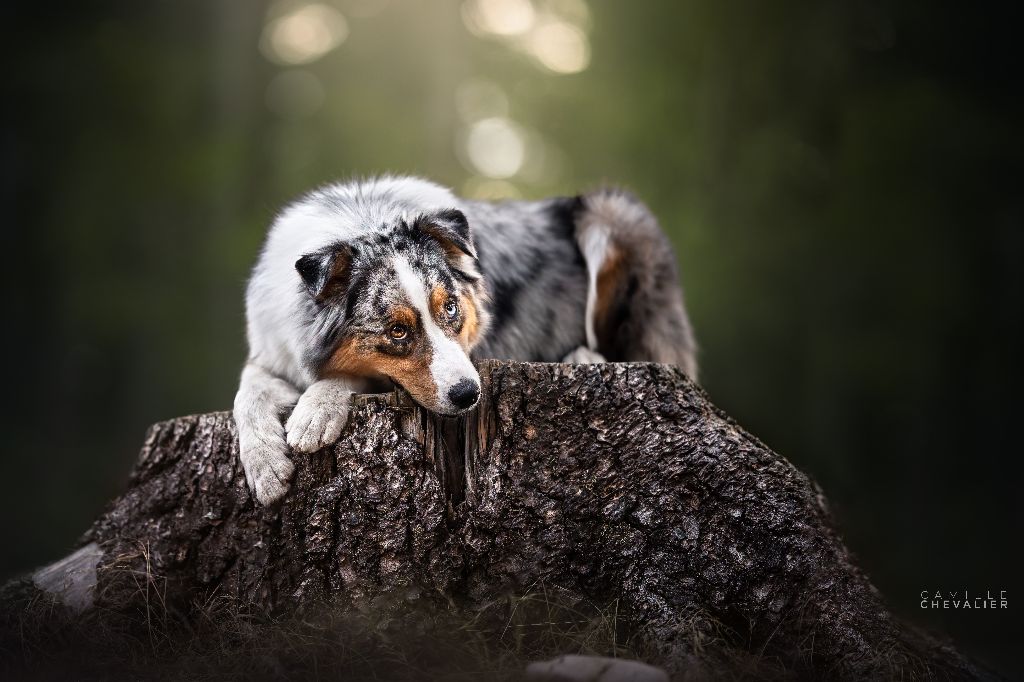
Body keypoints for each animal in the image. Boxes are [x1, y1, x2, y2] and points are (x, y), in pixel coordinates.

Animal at [234, 176, 696, 503]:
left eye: (451, 308)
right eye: (397, 331)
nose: (468, 394)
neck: (361, 218)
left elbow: (354, 376)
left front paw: (315, 412)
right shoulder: (271, 351)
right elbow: (247, 393)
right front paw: (265, 468)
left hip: (612, 217)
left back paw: (585, 356)